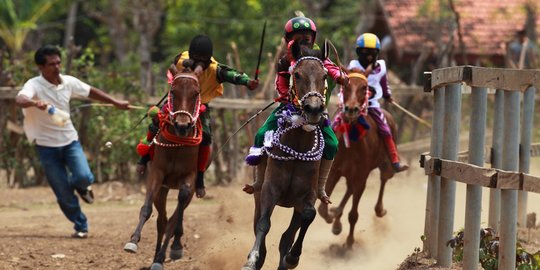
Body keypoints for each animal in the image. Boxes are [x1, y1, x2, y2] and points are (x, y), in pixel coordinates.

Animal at [123, 63, 204, 270]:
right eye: (173, 91)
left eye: (196, 93)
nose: (183, 125)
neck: (178, 142)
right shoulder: (157, 174)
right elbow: (147, 209)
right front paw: (133, 241)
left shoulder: (189, 178)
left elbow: (177, 215)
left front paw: (169, 252)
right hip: (163, 189)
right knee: (161, 220)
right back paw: (155, 256)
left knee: (174, 218)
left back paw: (168, 251)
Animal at [245, 43, 330, 268]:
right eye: (297, 74)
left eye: (325, 76)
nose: (314, 109)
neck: (297, 148)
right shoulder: (270, 189)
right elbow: (263, 225)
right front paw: (252, 259)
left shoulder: (307, 195)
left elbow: (308, 215)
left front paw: (293, 257)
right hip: (257, 194)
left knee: (287, 237)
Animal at [316, 68, 396, 249]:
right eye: (345, 86)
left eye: (364, 87)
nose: (351, 109)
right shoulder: (334, 171)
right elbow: (322, 209)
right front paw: (333, 218)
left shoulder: (361, 176)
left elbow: (353, 215)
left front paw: (349, 241)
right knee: (349, 190)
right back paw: (337, 218)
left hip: (383, 164)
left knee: (384, 177)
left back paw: (379, 209)